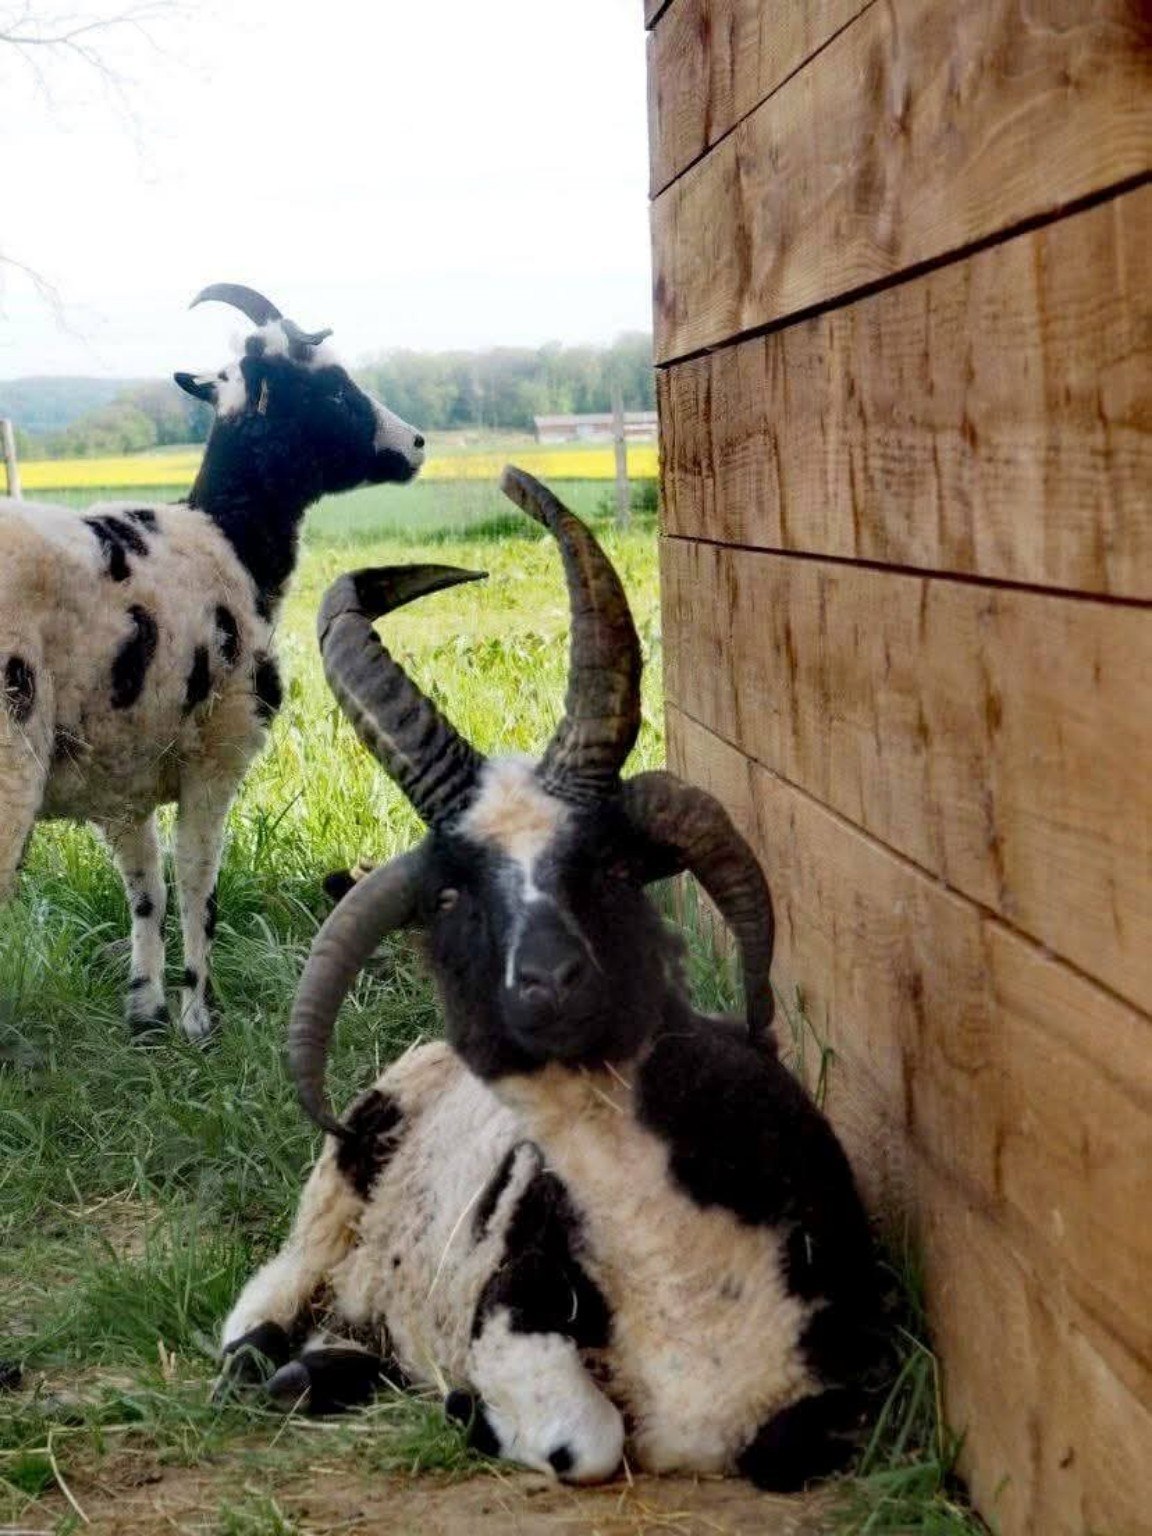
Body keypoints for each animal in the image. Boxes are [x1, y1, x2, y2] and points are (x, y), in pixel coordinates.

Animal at [0, 284, 425, 1041]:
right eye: (334, 387)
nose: (416, 445)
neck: (231, 533)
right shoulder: (218, 747)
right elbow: (198, 877)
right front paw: (201, 1014)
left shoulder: (122, 778)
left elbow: (145, 888)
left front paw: (146, 1011)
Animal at [218, 467, 881, 1490]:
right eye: (453, 897)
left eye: (609, 866)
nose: (550, 984)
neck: (682, 1280)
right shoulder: (509, 1317)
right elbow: (589, 1439)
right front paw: (469, 1413)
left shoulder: (846, 1368)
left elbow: (783, 1450)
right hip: (330, 1196)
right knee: (261, 1305)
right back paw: (274, 1365)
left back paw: (331, 1369)